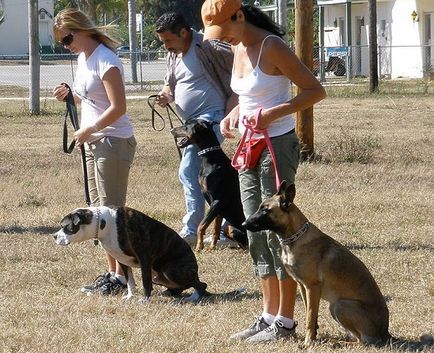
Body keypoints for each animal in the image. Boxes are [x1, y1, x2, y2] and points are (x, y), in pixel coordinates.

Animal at [172, 120, 249, 250]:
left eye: (186, 125)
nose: (171, 130)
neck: (210, 158)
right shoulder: (219, 208)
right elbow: (215, 228)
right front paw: (212, 247)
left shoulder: (217, 201)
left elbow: (201, 225)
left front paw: (199, 247)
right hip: (230, 227)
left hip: (234, 227)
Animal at [244, 182, 390, 346]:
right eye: (260, 208)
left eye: (265, 210)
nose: (244, 223)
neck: (296, 237)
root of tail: (386, 334)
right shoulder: (303, 287)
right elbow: (311, 315)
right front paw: (313, 338)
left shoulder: (312, 287)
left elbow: (310, 317)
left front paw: (308, 343)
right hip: (335, 307)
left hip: (340, 305)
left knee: (362, 341)